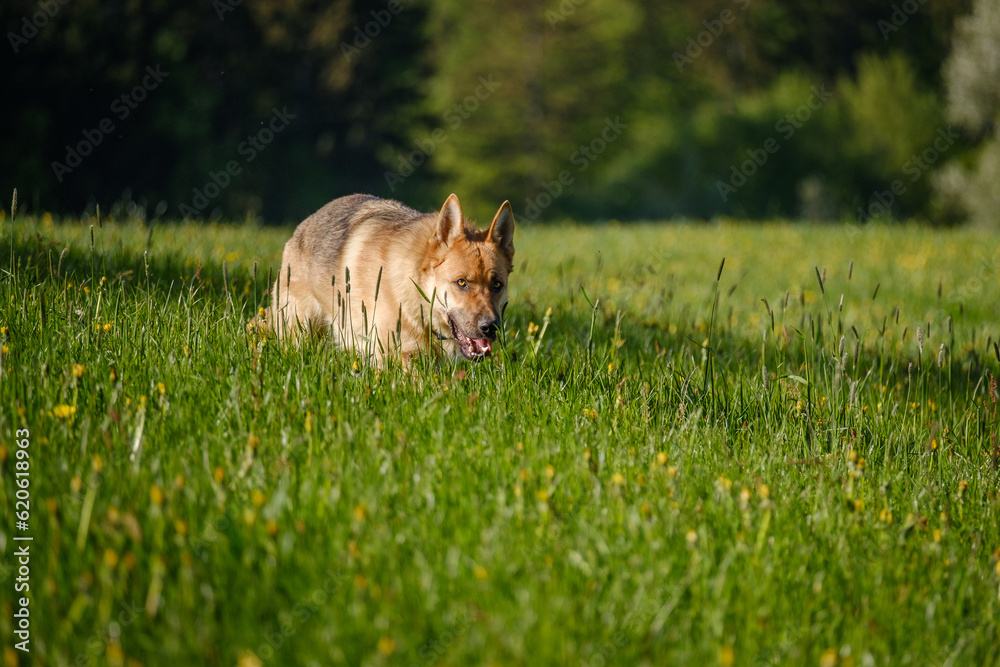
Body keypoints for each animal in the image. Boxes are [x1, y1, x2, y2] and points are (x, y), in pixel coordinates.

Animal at [266, 193, 515, 366]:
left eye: (497, 285)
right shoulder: (397, 357)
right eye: (461, 282)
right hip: (298, 333)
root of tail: (305, 223)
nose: (490, 327)